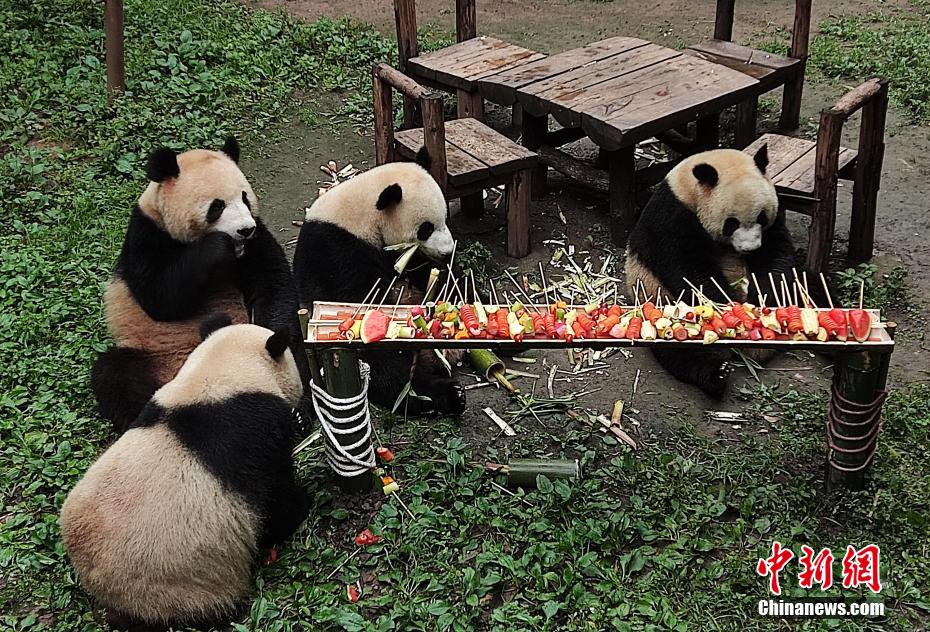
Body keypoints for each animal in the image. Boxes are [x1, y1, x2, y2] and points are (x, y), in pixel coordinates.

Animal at [59, 318, 310, 628]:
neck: (219, 376)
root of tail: (99, 587)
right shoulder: (256, 435)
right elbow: (274, 499)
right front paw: (302, 504)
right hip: (178, 587)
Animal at [91, 138, 310, 432]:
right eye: (217, 206)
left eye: (244, 197)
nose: (245, 229)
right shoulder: (146, 235)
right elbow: (160, 299)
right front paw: (218, 246)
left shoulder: (258, 239)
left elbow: (273, 284)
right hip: (148, 354)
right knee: (115, 374)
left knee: (300, 355)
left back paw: (300, 413)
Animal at [292, 151, 468, 418]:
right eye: (426, 229)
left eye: (446, 218)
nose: (447, 252)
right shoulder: (338, 249)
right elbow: (361, 299)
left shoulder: (405, 256)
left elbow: (430, 273)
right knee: (386, 368)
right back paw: (443, 395)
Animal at [620, 146, 792, 398]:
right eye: (731, 223)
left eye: (761, 216)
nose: (749, 249)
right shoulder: (672, 215)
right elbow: (686, 268)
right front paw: (730, 309)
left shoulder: (775, 215)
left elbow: (776, 254)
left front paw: (763, 304)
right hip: (663, 304)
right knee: (685, 349)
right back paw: (716, 374)